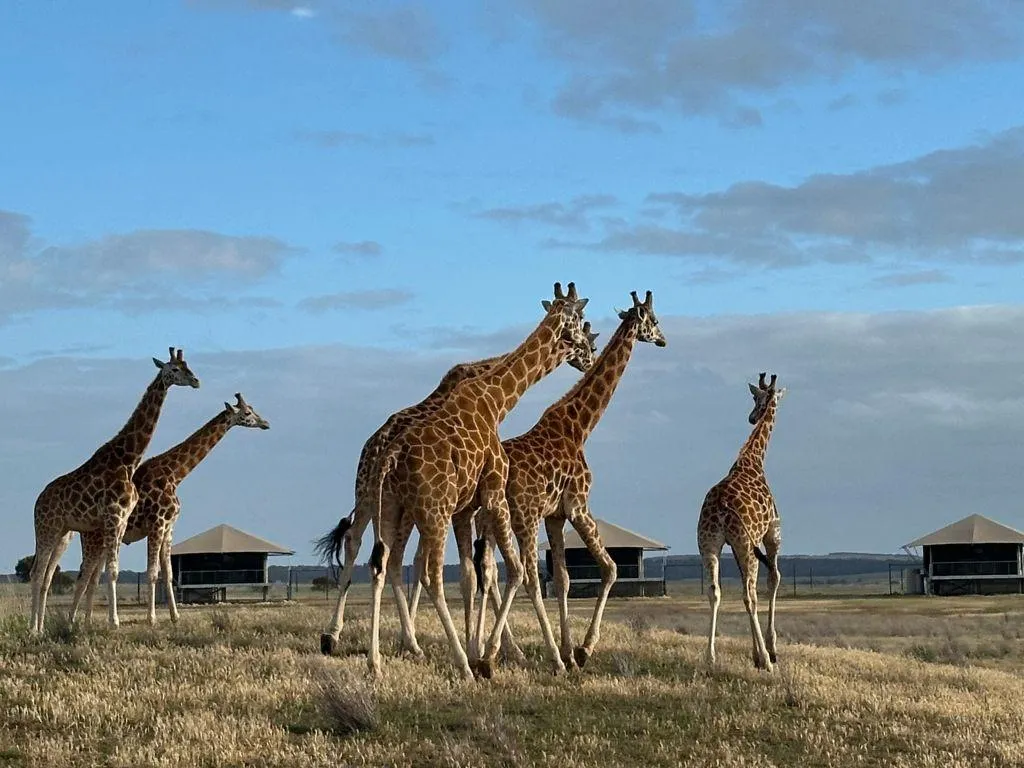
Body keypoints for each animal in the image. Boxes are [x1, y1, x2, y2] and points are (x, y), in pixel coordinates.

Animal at [29, 348, 200, 633]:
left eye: (188, 366)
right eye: (174, 369)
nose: (196, 381)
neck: (128, 460)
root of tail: (37, 502)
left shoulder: (120, 522)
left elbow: (113, 571)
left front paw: (108, 620)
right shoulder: (113, 517)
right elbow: (111, 571)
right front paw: (114, 621)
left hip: (63, 532)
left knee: (46, 576)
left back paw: (40, 628)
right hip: (47, 529)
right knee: (37, 573)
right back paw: (33, 629)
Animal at [71, 393, 270, 625]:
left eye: (253, 409)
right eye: (247, 412)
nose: (265, 423)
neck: (175, 474)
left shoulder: (169, 528)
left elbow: (169, 575)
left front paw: (175, 616)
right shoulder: (157, 524)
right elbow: (152, 573)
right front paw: (151, 618)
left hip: (104, 541)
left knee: (92, 578)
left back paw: (87, 621)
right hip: (93, 540)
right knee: (83, 576)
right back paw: (74, 620)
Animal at [365, 281, 591, 680]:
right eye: (579, 321)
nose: (588, 352)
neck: (497, 400)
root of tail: (389, 458)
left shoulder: (466, 507)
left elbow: (477, 575)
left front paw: (483, 652)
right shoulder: (493, 492)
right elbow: (514, 571)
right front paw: (494, 657)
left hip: (392, 507)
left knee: (381, 566)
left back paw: (376, 662)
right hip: (433, 509)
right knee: (431, 575)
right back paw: (459, 663)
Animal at [471, 290, 667, 673]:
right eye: (652, 320)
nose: (664, 340)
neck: (579, 427)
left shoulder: (555, 515)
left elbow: (562, 579)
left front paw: (568, 649)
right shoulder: (578, 504)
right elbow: (608, 569)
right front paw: (581, 650)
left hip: (490, 519)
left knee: (488, 573)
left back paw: (482, 650)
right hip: (522, 516)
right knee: (526, 576)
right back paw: (502, 656)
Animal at [697, 372, 787, 671]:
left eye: (756, 399)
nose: (752, 417)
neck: (753, 459)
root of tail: (722, 506)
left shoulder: (735, 547)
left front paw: (756, 653)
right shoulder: (772, 535)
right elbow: (774, 579)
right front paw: (769, 651)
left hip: (708, 543)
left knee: (715, 591)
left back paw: (710, 658)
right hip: (746, 544)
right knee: (750, 594)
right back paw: (768, 663)